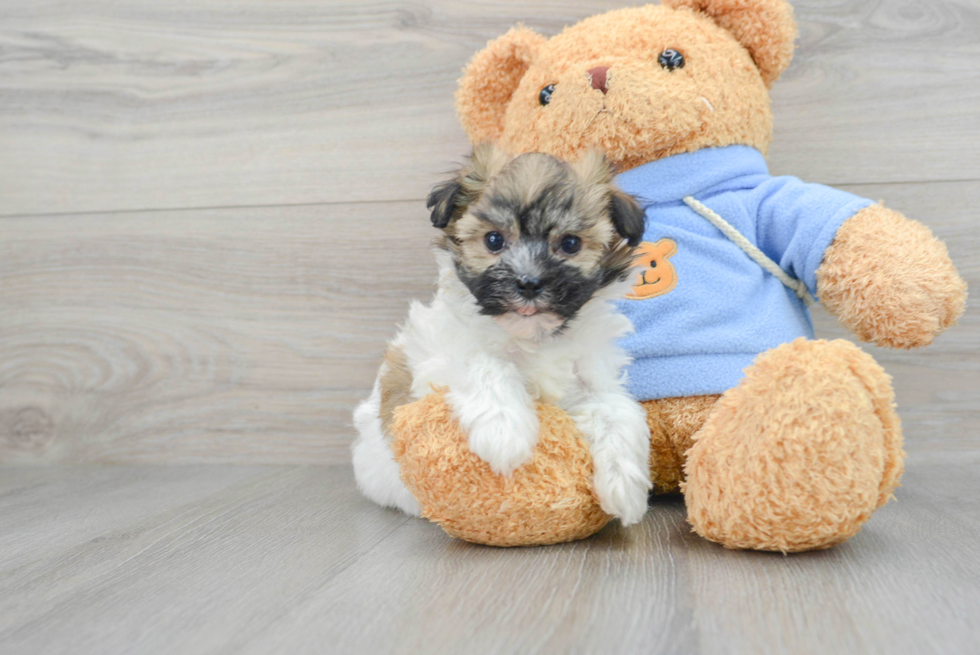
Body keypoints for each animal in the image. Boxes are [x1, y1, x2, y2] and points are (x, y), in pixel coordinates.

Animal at [348, 146, 656, 524]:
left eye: (570, 244)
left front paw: (625, 486)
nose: (528, 282)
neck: (532, 336)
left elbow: (616, 411)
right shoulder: (438, 361)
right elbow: (486, 363)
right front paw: (504, 432)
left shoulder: (593, 376)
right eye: (494, 240)